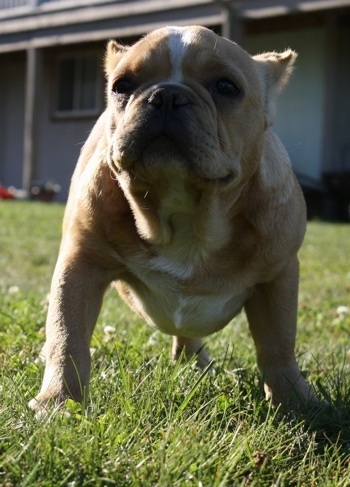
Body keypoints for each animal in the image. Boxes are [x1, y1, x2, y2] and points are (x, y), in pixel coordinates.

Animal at [30, 23, 316, 412]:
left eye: (227, 87)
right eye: (122, 86)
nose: (166, 95)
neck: (185, 211)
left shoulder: (278, 275)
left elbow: (278, 342)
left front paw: (294, 401)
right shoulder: (81, 263)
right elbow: (67, 335)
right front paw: (59, 401)